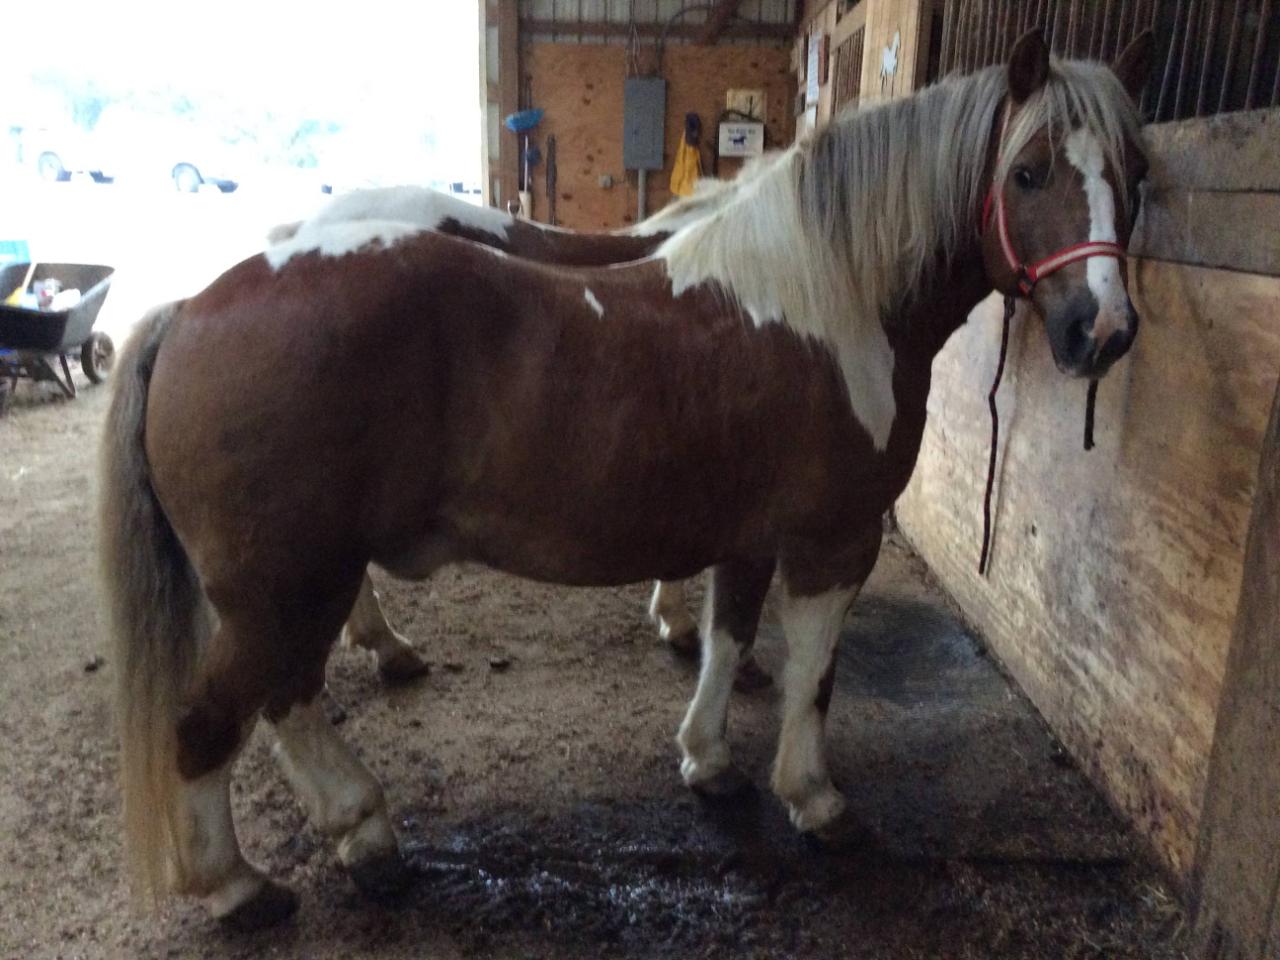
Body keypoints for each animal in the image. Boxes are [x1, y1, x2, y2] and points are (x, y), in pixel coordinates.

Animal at [99, 29, 1152, 928]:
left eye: (1134, 177)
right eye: (1028, 172)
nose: (1100, 331)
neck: (830, 299)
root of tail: (192, 308)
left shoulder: (747, 537)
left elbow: (730, 642)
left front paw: (709, 760)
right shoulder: (832, 541)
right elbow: (815, 675)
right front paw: (814, 799)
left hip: (289, 589)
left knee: (284, 701)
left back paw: (360, 827)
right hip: (284, 588)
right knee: (214, 722)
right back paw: (243, 882)